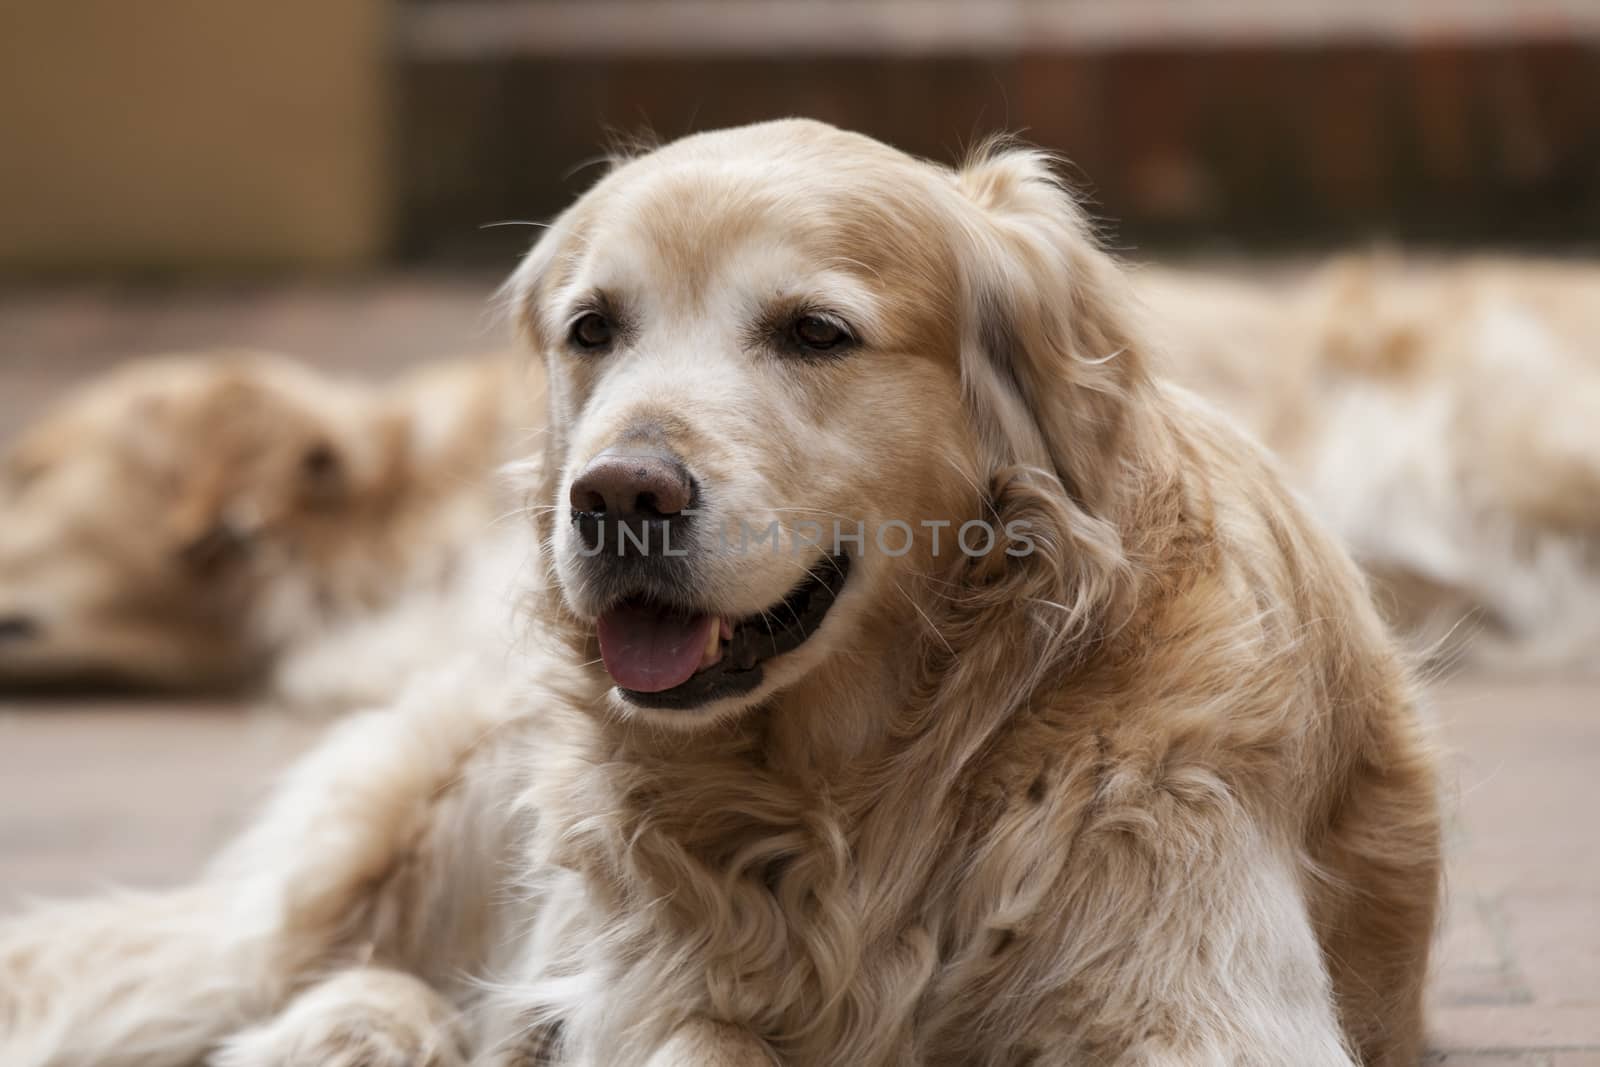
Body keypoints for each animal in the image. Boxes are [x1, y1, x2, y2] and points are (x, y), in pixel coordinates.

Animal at [0, 120, 1446, 1062]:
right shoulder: (665, 990)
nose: (617, 495)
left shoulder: (1196, 996)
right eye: (593, 327)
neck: (879, 788)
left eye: (815, 332)